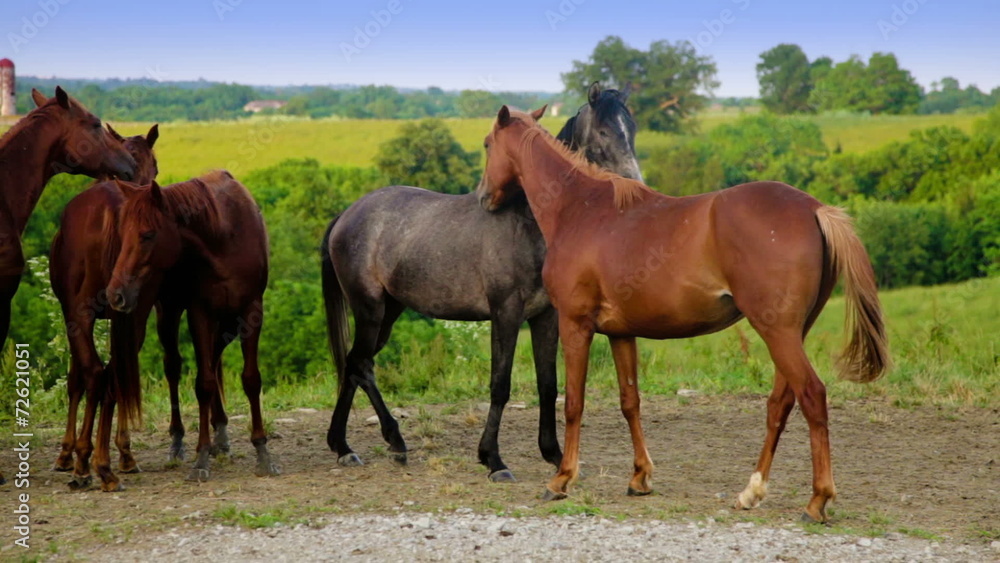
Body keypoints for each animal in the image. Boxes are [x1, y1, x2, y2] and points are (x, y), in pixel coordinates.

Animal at [104, 172, 279, 484]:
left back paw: (220, 433)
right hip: (168, 312)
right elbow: (204, 383)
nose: (115, 294)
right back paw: (177, 440)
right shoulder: (200, 313)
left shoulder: (250, 312)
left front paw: (262, 451)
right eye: (123, 234)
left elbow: (249, 379)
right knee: (172, 366)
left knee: (213, 359)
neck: (224, 238)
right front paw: (201, 457)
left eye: (147, 234)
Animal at [322, 86, 642, 483]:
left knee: (353, 365)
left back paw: (342, 445)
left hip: (388, 313)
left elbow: (548, 384)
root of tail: (346, 215)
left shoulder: (546, 317)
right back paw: (392, 440)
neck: (528, 222)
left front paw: (554, 456)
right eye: (603, 131)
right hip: (370, 310)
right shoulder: (505, 313)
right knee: (362, 365)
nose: (636, 183)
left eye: (632, 128)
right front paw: (494, 460)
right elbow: (500, 384)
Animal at [476, 106, 890, 523]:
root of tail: (814, 209)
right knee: (781, 404)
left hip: (778, 332)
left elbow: (574, 402)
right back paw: (751, 492)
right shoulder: (621, 333)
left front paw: (562, 479)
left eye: (487, 143)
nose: (483, 198)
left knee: (812, 397)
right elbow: (630, 401)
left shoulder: (575, 325)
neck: (582, 209)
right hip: (790, 333)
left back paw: (817, 500)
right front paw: (640, 477)